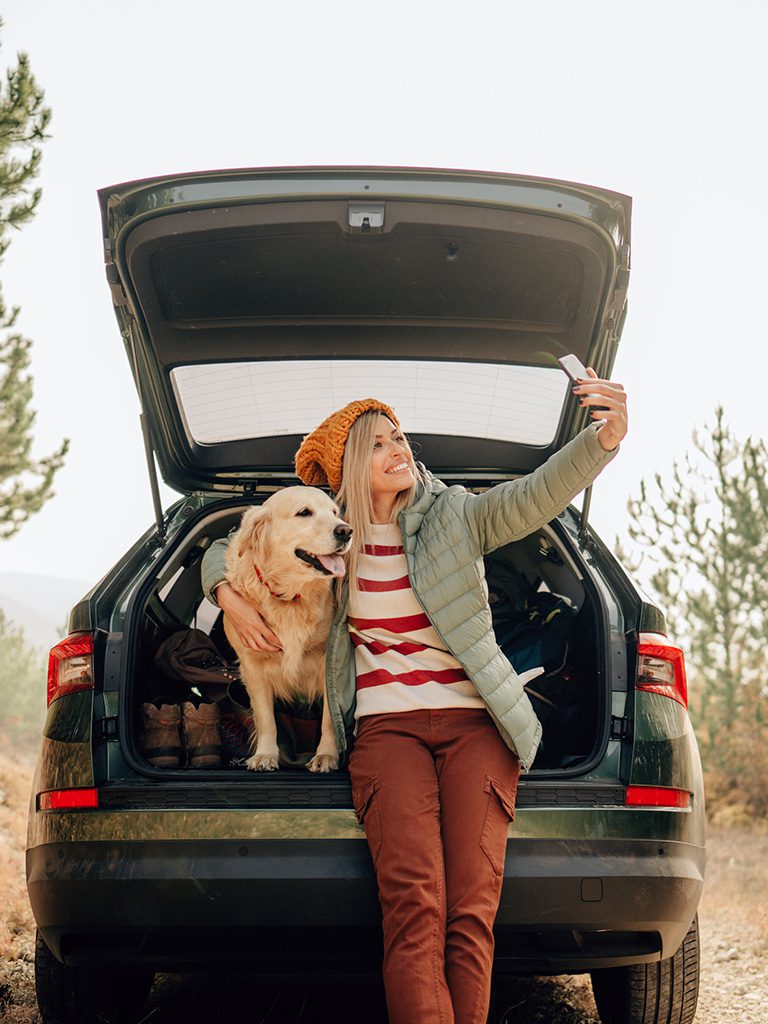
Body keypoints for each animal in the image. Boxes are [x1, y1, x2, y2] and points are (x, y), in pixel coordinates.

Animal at [224, 485, 354, 770]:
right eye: (304, 513)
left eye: (335, 512)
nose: (346, 531)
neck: (291, 596)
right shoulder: (252, 666)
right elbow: (266, 719)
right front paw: (265, 754)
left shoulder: (328, 661)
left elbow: (330, 718)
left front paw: (326, 755)